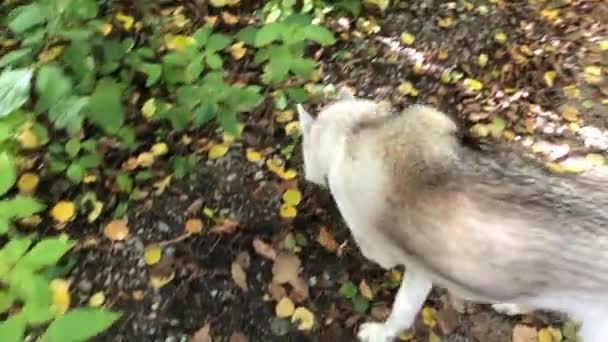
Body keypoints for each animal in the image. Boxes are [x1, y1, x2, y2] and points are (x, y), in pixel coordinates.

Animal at [296, 91, 608, 342]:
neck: (358, 130)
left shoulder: (396, 259)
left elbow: (399, 310)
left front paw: (380, 333)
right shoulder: (421, 271)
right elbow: (405, 308)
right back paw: (514, 304)